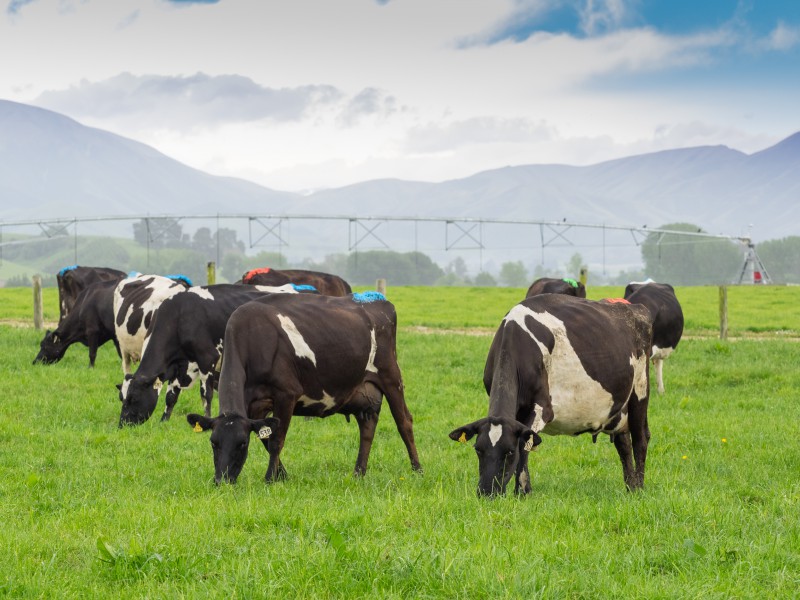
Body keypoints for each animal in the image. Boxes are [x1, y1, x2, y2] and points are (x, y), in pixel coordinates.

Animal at [117, 282, 308, 426]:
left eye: (134, 398)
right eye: (122, 398)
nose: (122, 425)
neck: (179, 318)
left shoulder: (208, 358)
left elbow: (206, 394)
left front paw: (207, 419)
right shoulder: (179, 365)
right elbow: (171, 396)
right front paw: (164, 421)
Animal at [188, 292, 422, 486]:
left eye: (242, 444)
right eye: (213, 443)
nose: (222, 481)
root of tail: (378, 300)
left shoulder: (286, 394)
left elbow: (276, 441)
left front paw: (270, 479)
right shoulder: (256, 405)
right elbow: (266, 438)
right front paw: (282, 475)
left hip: (391, 376)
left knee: (404, 422)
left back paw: (417, 470)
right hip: (362, 392)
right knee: (367, 427)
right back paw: (358, 473)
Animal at [450, 296, 648, 496]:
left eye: (510, 451)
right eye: (478, 449)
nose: (486, 492)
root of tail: (633, 307)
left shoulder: (542, 408)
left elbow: (525, 445)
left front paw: (522, 491)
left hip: (640, 389)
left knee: (640, 438)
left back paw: (639, 488)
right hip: (618, 409)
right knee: (623, 442)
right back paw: (630, 487)